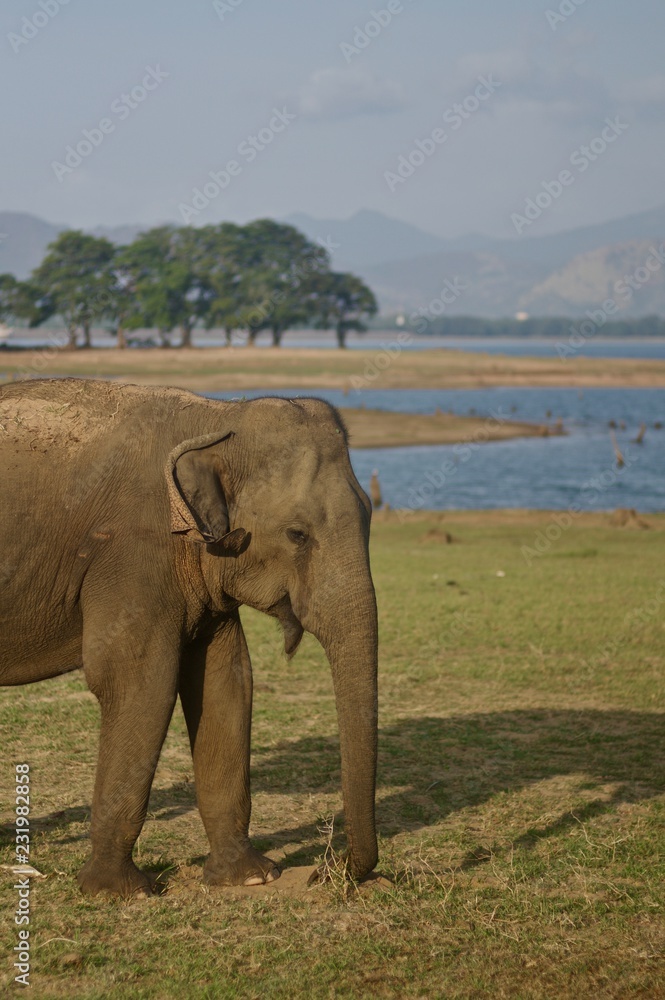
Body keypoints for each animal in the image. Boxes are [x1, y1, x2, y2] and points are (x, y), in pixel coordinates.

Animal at [0, 378, 378, 896]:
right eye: (297, 534)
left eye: (370, 515)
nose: (326, 871)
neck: (217, 417)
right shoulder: (134, 552)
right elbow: (139, 682)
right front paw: (120, 891)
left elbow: (226, 682)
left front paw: (249, 877)